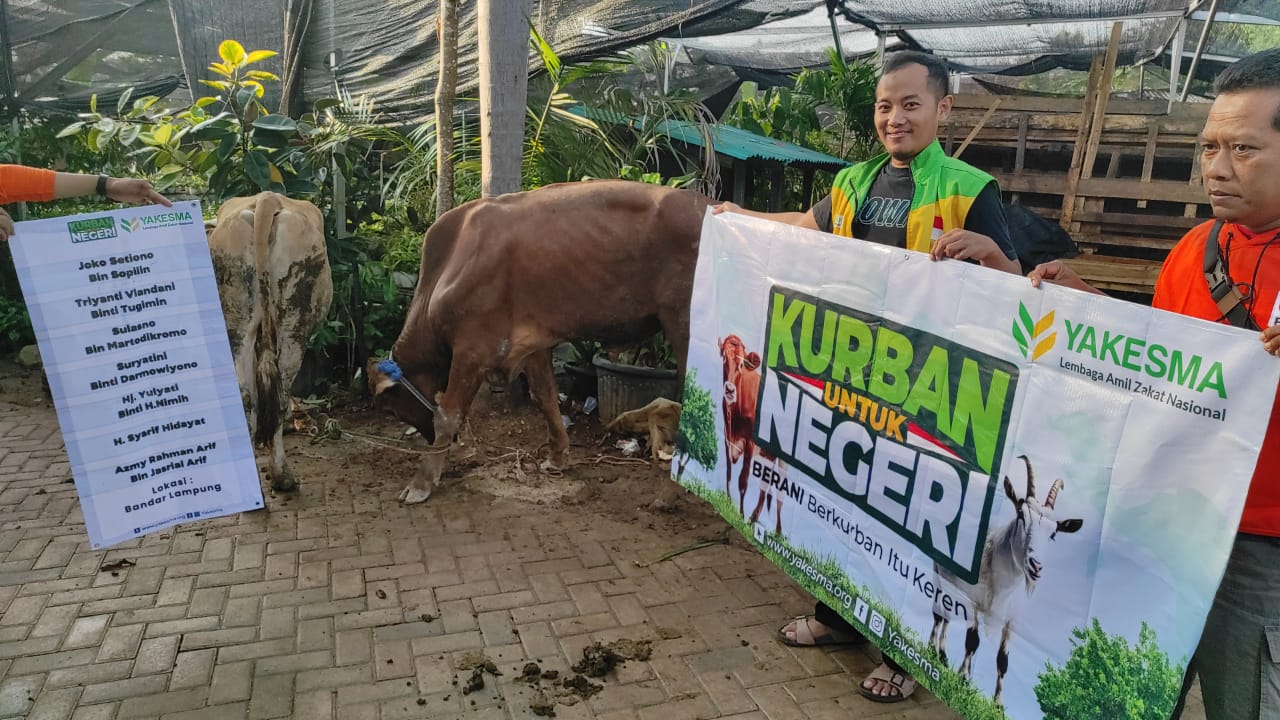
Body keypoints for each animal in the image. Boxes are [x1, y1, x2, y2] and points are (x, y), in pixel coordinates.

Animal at [208, 191, 333, 493]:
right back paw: (283, 476)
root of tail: (267, 199)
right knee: (280, 391)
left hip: (236, 311)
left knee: (245, 394)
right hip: (295, 320)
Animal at [367, 180, 710, 504]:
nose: (426, 439)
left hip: (684, 327)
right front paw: (557, 456)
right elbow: (545, 396)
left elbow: (448, 415)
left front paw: (421, 483)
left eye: (392, 410)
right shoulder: (533, 343)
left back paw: (669, 494)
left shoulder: (472, 350)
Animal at [927, 455, 1084, 706]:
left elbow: (1003, 659)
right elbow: (972, 640)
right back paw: (935, 650)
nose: (1036, 566)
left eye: (1053, 533)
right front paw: (963, 679)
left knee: (947, 614)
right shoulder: (974, 600)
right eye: (1021, 515)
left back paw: (942, 656)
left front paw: (998, 704)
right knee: (940, 613)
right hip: (939, 569)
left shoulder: (1013, 619)